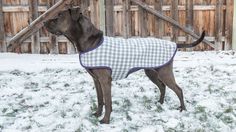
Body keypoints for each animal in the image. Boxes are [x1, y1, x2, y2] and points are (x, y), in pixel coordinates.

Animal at [43, 6, 205, 124]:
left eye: (59, 16)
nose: (44, 22)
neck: (91, 42)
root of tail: (173, 43)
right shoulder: (96, 80)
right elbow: (100, 100)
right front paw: (97, 114)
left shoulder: (105, 81)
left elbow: (108, 102)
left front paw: (105, 120)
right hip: (151, 72)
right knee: (162, 86)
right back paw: (160, 103)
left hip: (164, 73)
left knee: (178, 89)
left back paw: (182, 109)